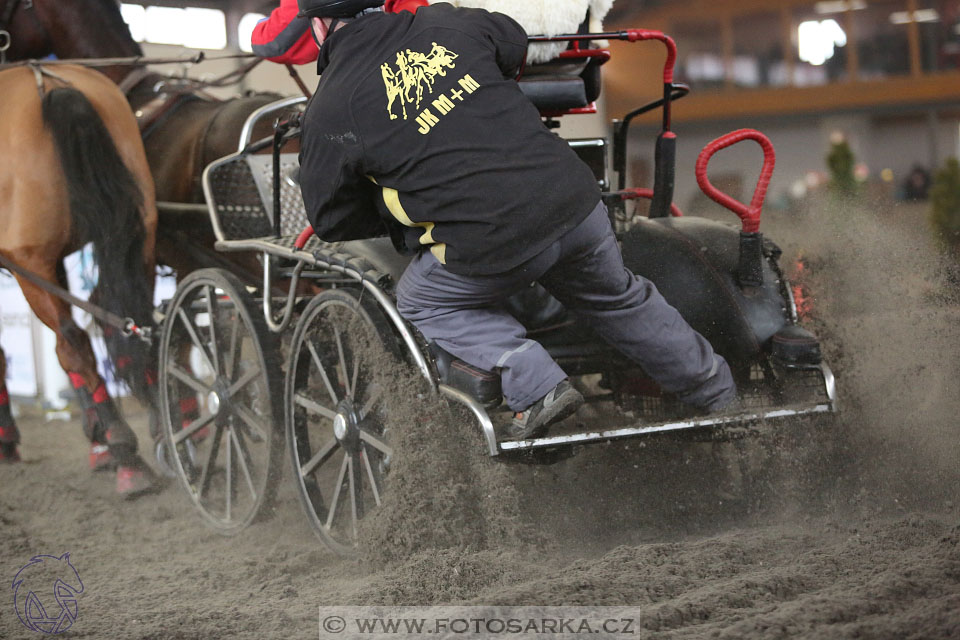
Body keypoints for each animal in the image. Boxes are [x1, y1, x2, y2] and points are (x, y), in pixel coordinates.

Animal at [0, 65, 159, 496]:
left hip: (29, 263)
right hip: (140, 233)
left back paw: (126, 453)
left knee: (74, 341)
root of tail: (49, 82)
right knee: (127, 323)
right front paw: (95, 438)